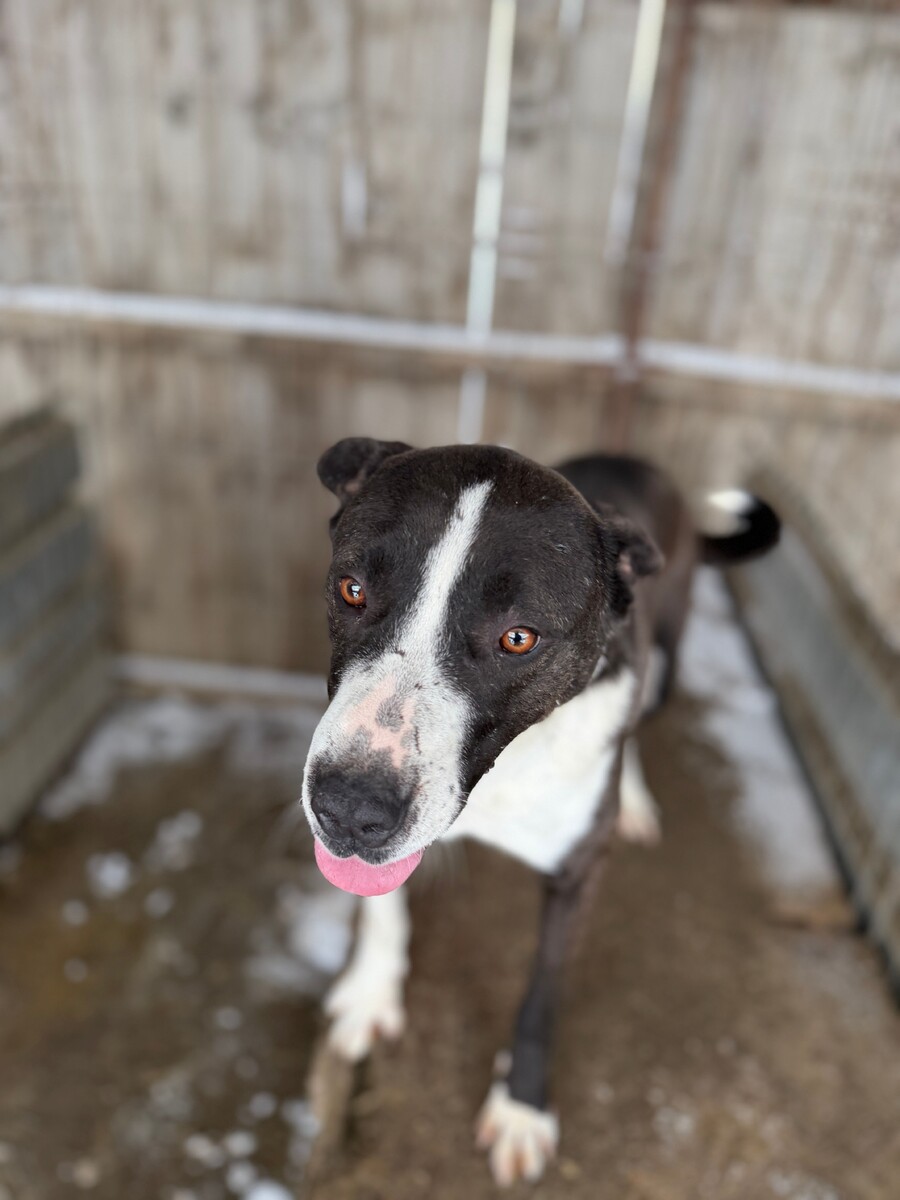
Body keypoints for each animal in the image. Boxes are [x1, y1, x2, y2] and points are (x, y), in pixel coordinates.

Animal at [301, 438, 779, 1186]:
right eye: (352, 589)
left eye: (518, 638)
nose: (348, 809)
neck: (507, 772)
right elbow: (381, 907)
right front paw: (371, 991)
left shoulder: (578, 873)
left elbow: (543, 990)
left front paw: (523, 1104)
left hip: (667, 663)